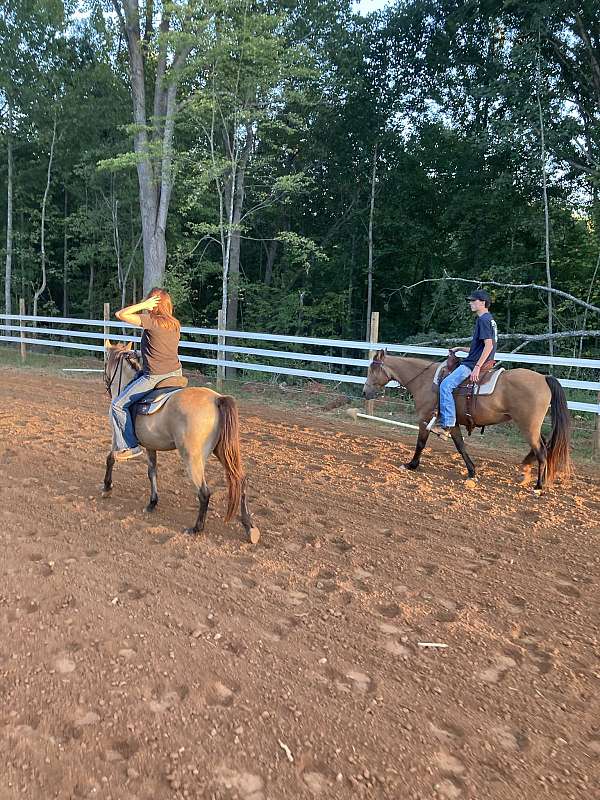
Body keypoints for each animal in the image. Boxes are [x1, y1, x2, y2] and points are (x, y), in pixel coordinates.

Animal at [101, 340, 260, 544]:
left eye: (106, 362)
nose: (106, 383)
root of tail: (217, 398)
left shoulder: (116, 436)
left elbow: (110, 458)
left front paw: (107, 488)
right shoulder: (151, 446)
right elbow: (152, 472)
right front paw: (152, 503)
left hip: (192, 457)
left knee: (204, 493)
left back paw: (196, 528)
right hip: (224, 452)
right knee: (240, 480)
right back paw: (250, 528)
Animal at [360, 352, 572, 490]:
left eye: (372, 369)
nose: (364, 392)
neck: (425, 380)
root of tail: (544, 378)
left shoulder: (425, 419)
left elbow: (420, 443)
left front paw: (411, 465)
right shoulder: (453, 423)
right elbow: (461, 446)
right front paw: (472, 472)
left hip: (528, 426)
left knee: (542, 451)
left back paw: (538, 485)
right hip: (532, 427)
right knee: (543, 446)